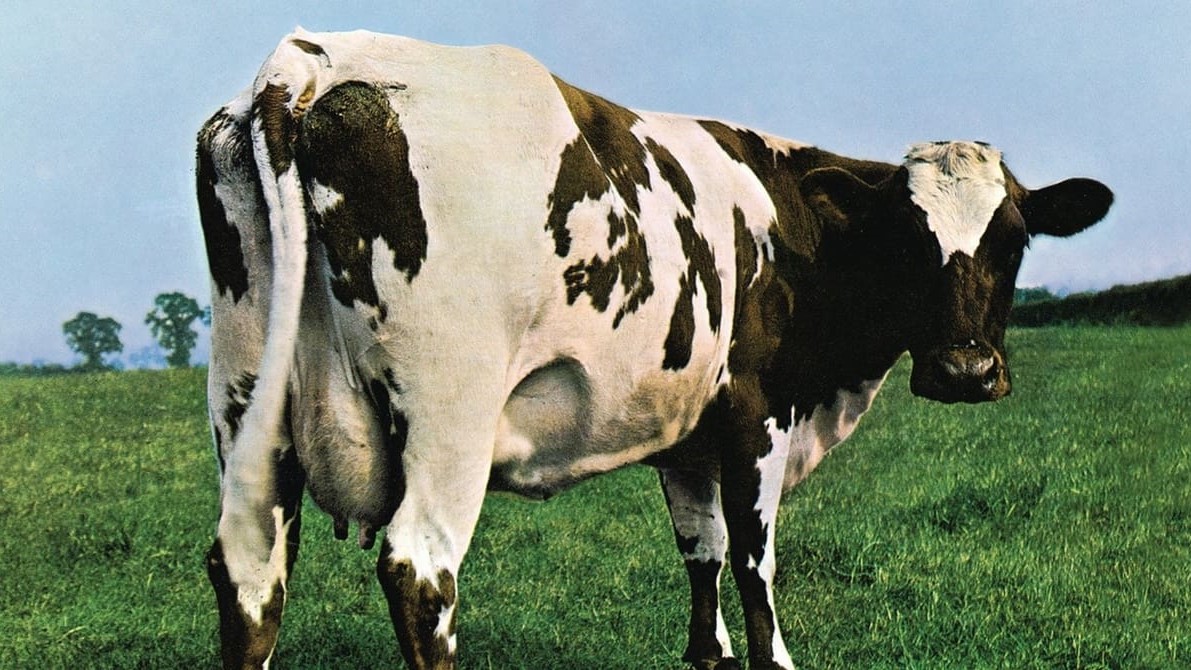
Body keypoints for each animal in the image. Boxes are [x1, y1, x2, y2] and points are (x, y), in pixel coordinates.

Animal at [196, 29, 1112, 670]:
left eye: (1014, 240)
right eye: (906, 241)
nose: (964, 372)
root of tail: (313, 61)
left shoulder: (685, 433)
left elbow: (700, 552)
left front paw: (708, 654)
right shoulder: (755, 414)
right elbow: (752, 558)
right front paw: (770, 655)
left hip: (245, 400)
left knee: (249, 571)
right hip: (447, 414)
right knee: (420, 573)